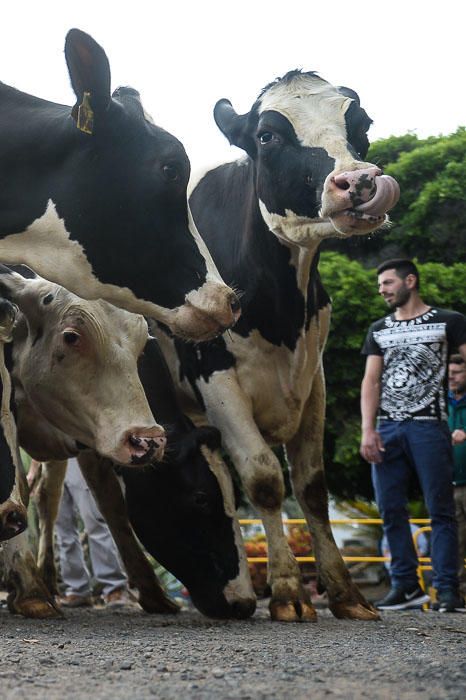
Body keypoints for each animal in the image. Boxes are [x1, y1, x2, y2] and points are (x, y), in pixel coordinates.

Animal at [158, 71, 398, 624]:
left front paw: (345, 594)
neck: (280, 307)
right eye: (267, 135)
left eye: (363, 122)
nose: (358, 182)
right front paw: (289, 592)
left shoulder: (314, 375)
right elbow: (265, 478)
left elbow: (310, 484)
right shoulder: (216, 377)